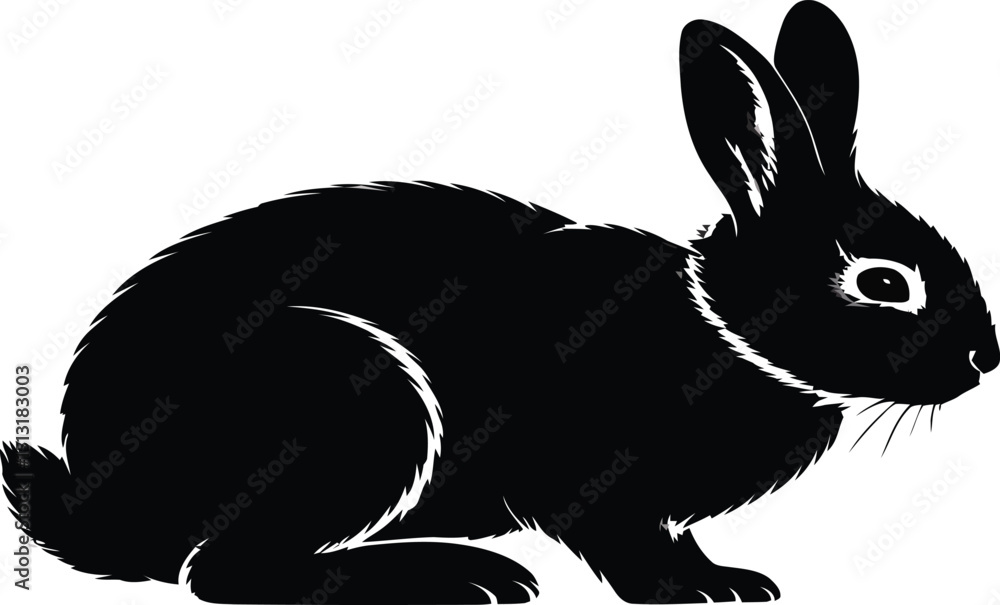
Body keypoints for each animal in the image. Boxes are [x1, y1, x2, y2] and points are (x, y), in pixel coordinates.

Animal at [4, 1, 997, 603]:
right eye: (883, 281)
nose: (986, 357)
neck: (721, 327)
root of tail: (101, 492)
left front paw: (733, 581)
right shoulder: (588, 476)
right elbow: (623, 540)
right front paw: (702, 589)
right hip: (357, 401)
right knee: (226, 571)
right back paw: (458, 576)